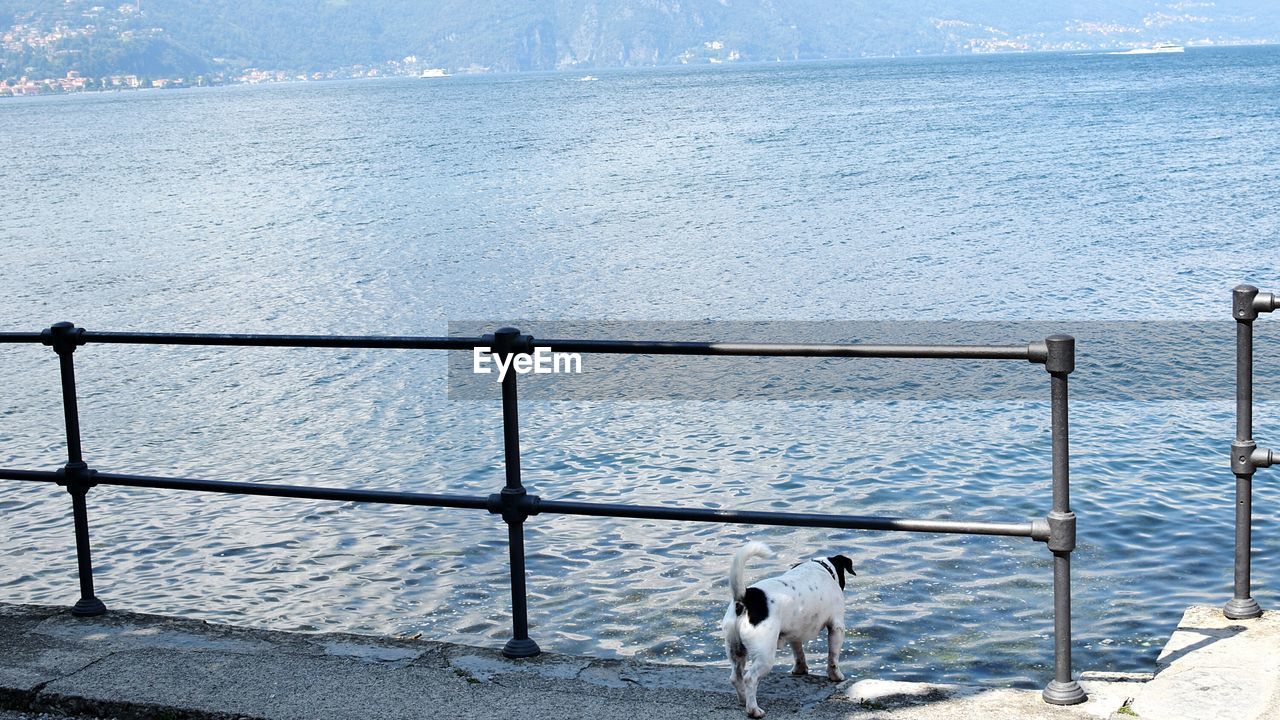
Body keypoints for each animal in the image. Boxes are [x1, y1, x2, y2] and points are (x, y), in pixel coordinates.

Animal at [727, 540, 855, 712]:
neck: (821, 567)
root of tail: (745, 598)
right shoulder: (837, 627)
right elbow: (833, 657)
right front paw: (836, 676)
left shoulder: (795, 633)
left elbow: (798, 653)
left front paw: (800, 670)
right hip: (765, 655)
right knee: (750, 678)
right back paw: (754, 710)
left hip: (735, 648)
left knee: (736, 677)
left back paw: (743, 701)